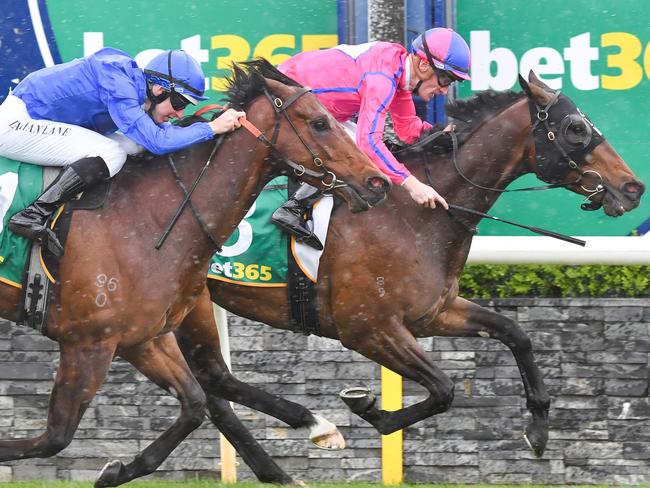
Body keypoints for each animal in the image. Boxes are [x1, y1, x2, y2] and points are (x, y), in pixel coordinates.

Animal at [0, 59, 388, 486]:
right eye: (320, 122)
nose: (378, 182)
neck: (147, 215)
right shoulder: (87, 342)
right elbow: (55, 437)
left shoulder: (143, 337)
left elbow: (194, 405)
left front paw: (116, 470)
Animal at [173, 70, 644, 464]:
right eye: (576, 129)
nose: (633, 187)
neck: (419, 216)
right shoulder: (367, 328)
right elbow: (444, 389)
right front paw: (368, 407)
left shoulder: (433, 312)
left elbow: (515, 333)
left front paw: (540, 429)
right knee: (213, 382)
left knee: (213, 387)